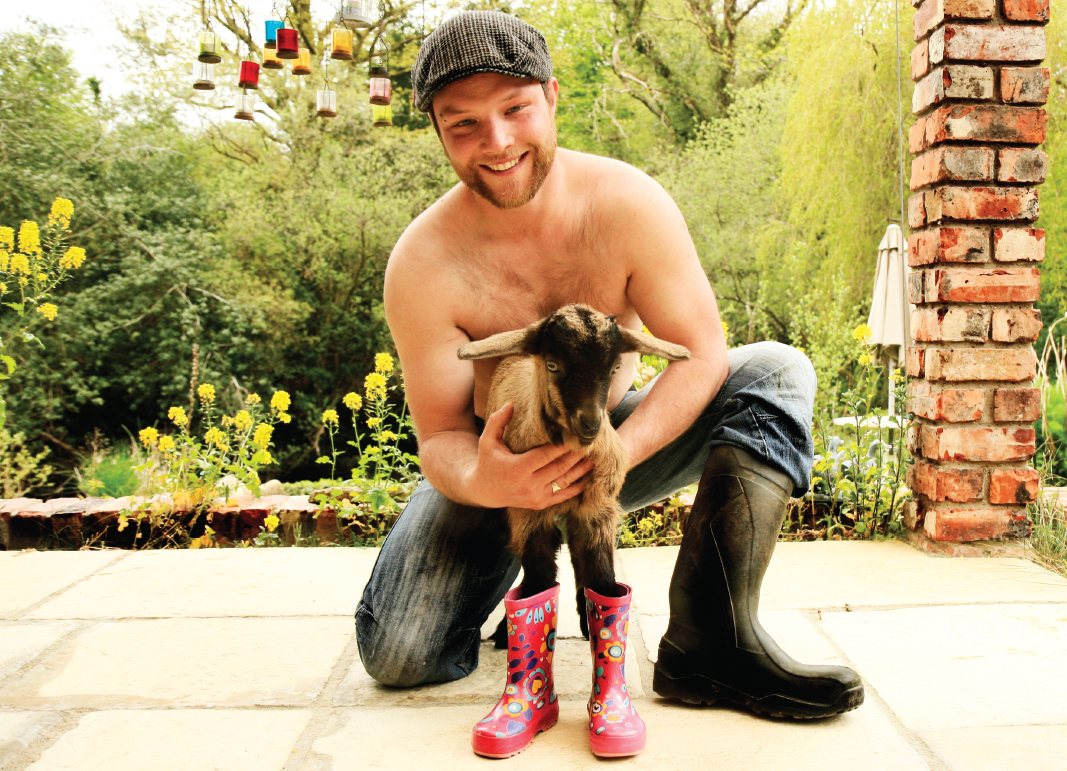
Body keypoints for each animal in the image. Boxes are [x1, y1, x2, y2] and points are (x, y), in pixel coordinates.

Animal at [454, 307, 687, 631]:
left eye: (614, 368)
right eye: (552, 365)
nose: (590, 423)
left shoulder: (597, 509)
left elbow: (600, 576)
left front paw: (599, 628)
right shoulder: (527, 511)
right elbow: (539, 578)